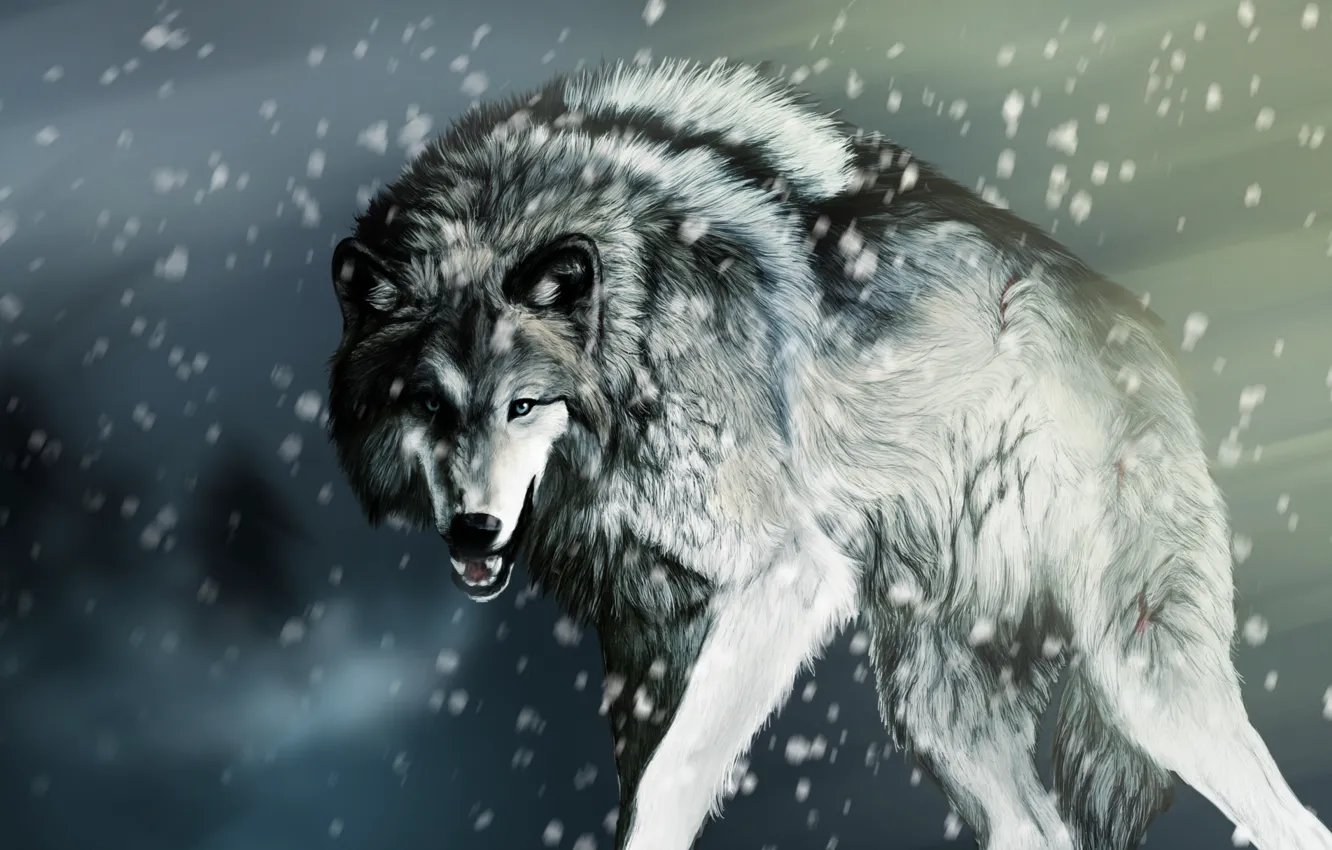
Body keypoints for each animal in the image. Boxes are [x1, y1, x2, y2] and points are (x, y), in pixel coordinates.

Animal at [325, 58, 1332, 850]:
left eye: (524, 404)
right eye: (429, 404)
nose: (473, 529)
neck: (634, 331)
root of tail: (1142, 330)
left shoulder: (785, 578)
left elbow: (673, 779)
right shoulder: (644, 639)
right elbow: (640, 786)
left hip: (1142, 681)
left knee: (1290, 820)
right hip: (935, 707)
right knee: (1035, 828)